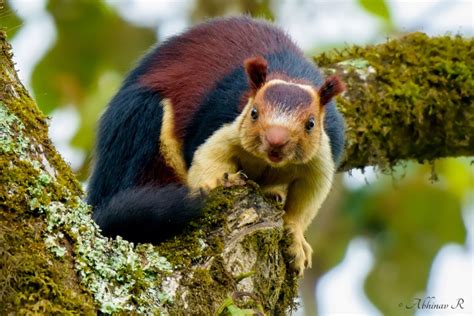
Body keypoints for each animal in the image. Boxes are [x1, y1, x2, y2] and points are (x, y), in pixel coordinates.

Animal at [87, 16, 344, 276]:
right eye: (253, 112)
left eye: (311, 123)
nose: (275, 141)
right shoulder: (218, 122)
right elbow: (206, 161)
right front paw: (220, 182)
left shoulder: (323, 156)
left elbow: (305, 201)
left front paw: (296, 241)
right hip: (140, 122)